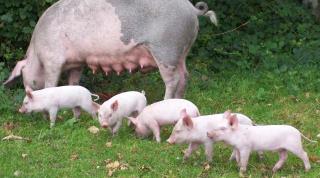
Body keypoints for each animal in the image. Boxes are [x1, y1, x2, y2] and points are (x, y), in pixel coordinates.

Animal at [3, 0, 218, 98]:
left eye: (23, 76)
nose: (28, 93)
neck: (36, 53)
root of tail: (192, 9)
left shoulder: (52, 59)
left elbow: (51, 83)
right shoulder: (77, 62)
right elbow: (73, 81)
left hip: (166, 50)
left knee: (172, 80)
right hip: (181, 52)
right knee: (185, 76)